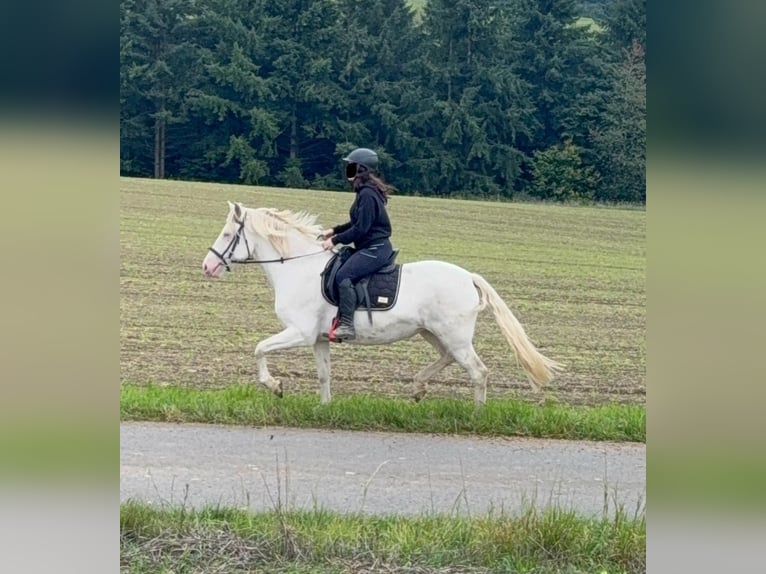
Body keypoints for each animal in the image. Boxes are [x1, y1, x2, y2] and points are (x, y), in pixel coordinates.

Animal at [202, 201, 562, 407]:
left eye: (227, 235)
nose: (207, 266)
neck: (296, 266)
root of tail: (468, 277)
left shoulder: (299, 333)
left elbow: (259, 349)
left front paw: (274, 386)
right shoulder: (318, 339)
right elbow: (324, 375)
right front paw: (324, 409)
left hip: (455, 337)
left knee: (478, 371)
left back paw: (477, 414)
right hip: (432, 332)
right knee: (448, 358)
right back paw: (417, 389)